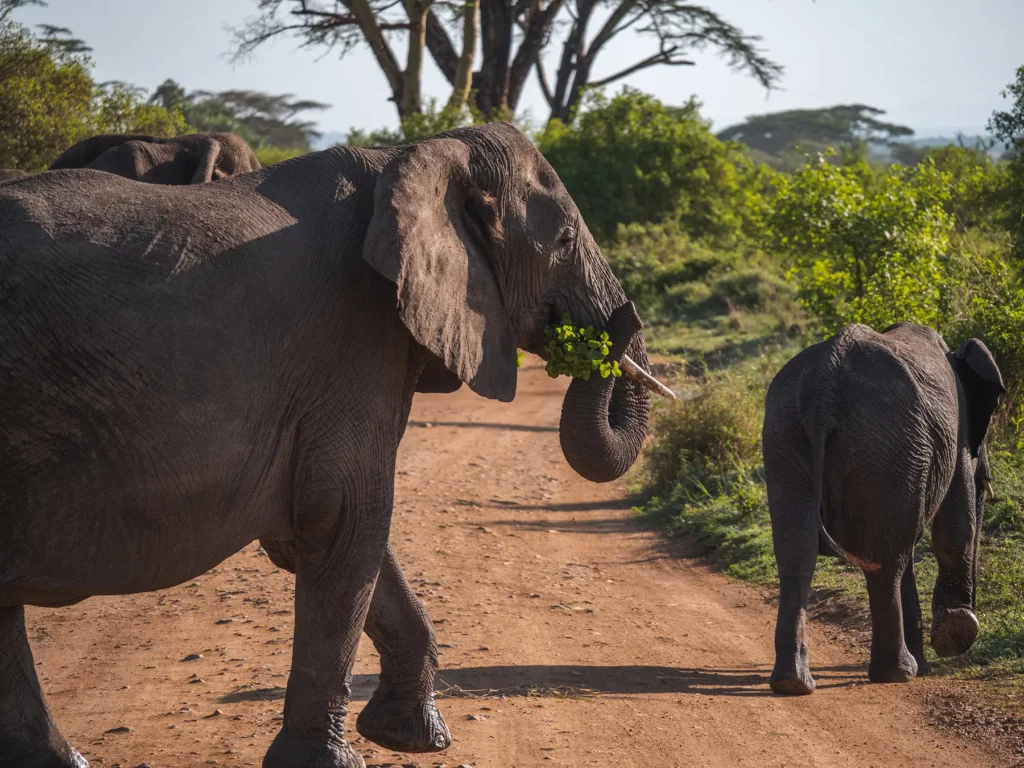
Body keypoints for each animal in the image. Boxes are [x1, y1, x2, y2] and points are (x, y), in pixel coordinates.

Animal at [0, 122, 671, 768]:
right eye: (563, 241)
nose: (622, 324)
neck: (415, 156)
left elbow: (318, 535)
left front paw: (412, 738)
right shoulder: (351, 335)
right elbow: (347, 520)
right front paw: (334, 760)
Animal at [762, 322, 1004, 695]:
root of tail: (823, 392)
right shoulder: (959, 428)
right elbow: (955, 525)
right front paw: (955, 634)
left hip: (787, 436)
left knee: (798, 555)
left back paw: (793, 684)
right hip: (888, 447)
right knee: (887, 561)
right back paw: (897, 673)